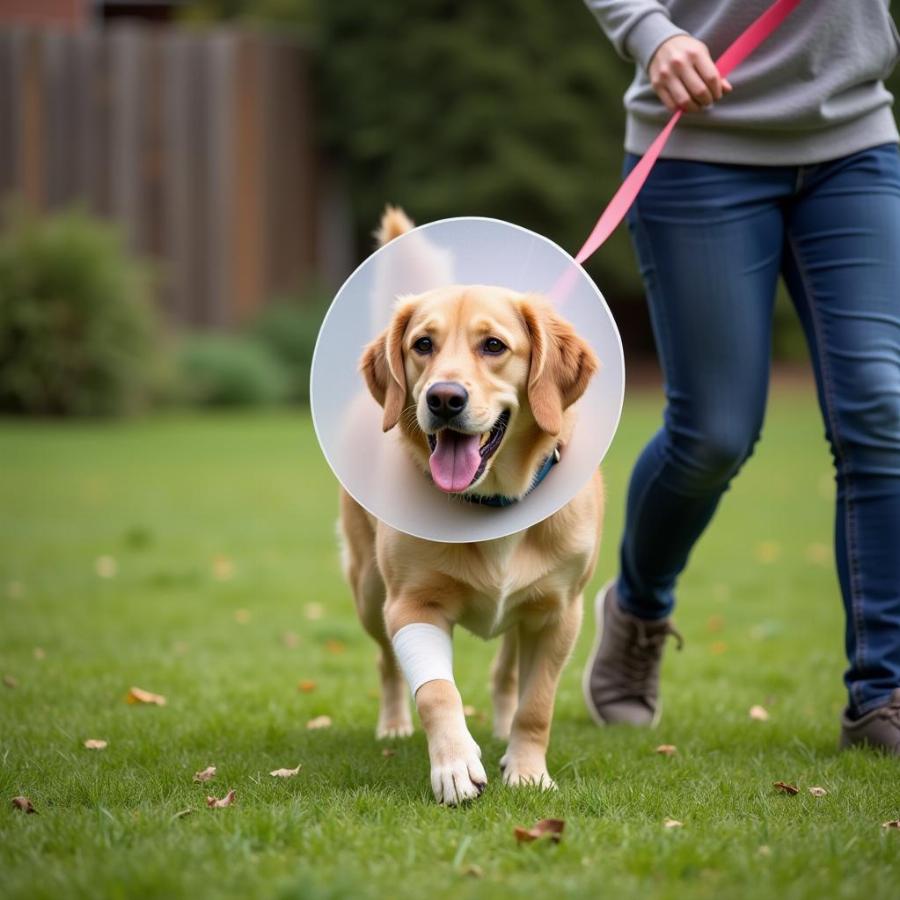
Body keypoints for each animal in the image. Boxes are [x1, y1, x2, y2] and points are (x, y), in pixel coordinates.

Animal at [338, 207, 604, 804]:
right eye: (422, 345)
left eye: (494, 347)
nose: (444, 398)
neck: (496, 500)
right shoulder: (411, 604)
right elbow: (437, 691)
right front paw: (455, 765)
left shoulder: (560, 613)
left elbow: (537, 703)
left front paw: (527, 770)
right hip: (369, 592)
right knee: (387, 661)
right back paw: (394, 723)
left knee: (508, 672)